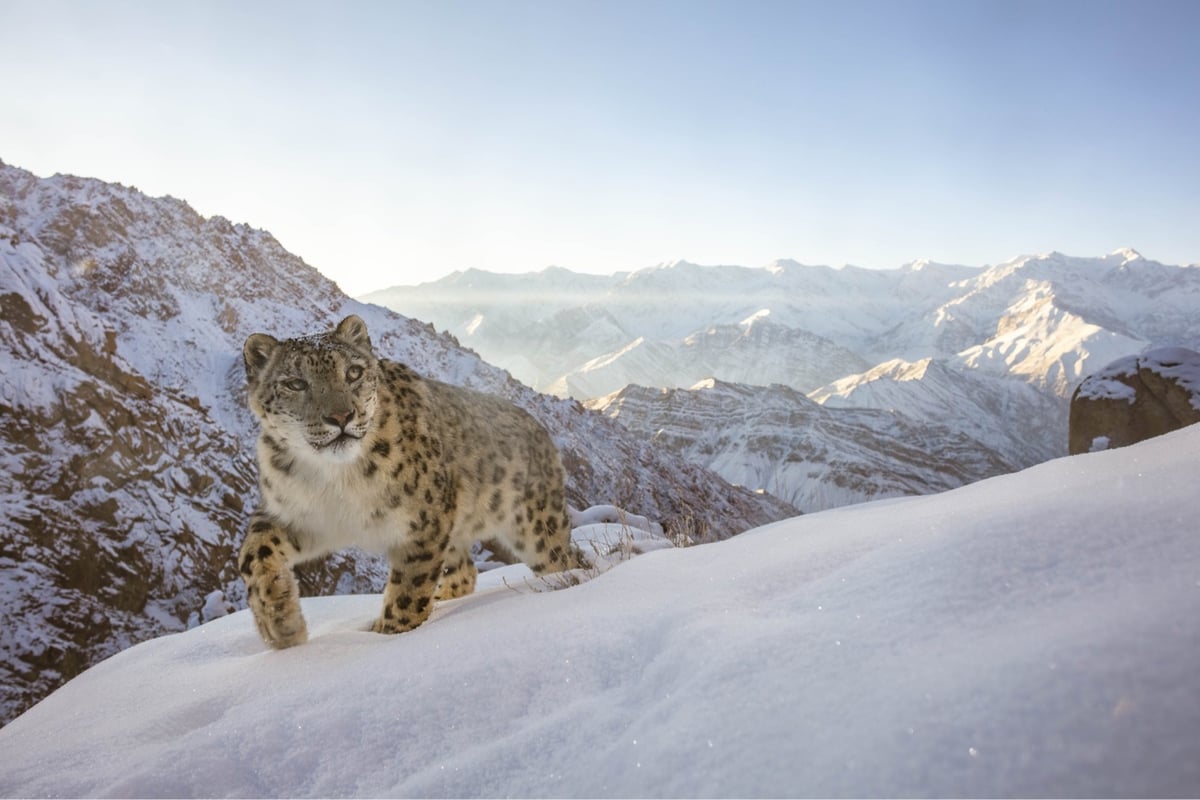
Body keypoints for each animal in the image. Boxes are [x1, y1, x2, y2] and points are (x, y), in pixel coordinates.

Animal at [236, 316, 583, 647]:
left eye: (353, 372)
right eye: (295, 383)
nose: (341, 416)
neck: (336, 480)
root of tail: (539, 429)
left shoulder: (424, 524)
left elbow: (409, 589)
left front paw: (389, 634)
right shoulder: (295, 514)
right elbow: (253, 554)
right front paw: (281, 624)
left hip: (535, 527)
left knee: (564, 559)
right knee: (465, 571)